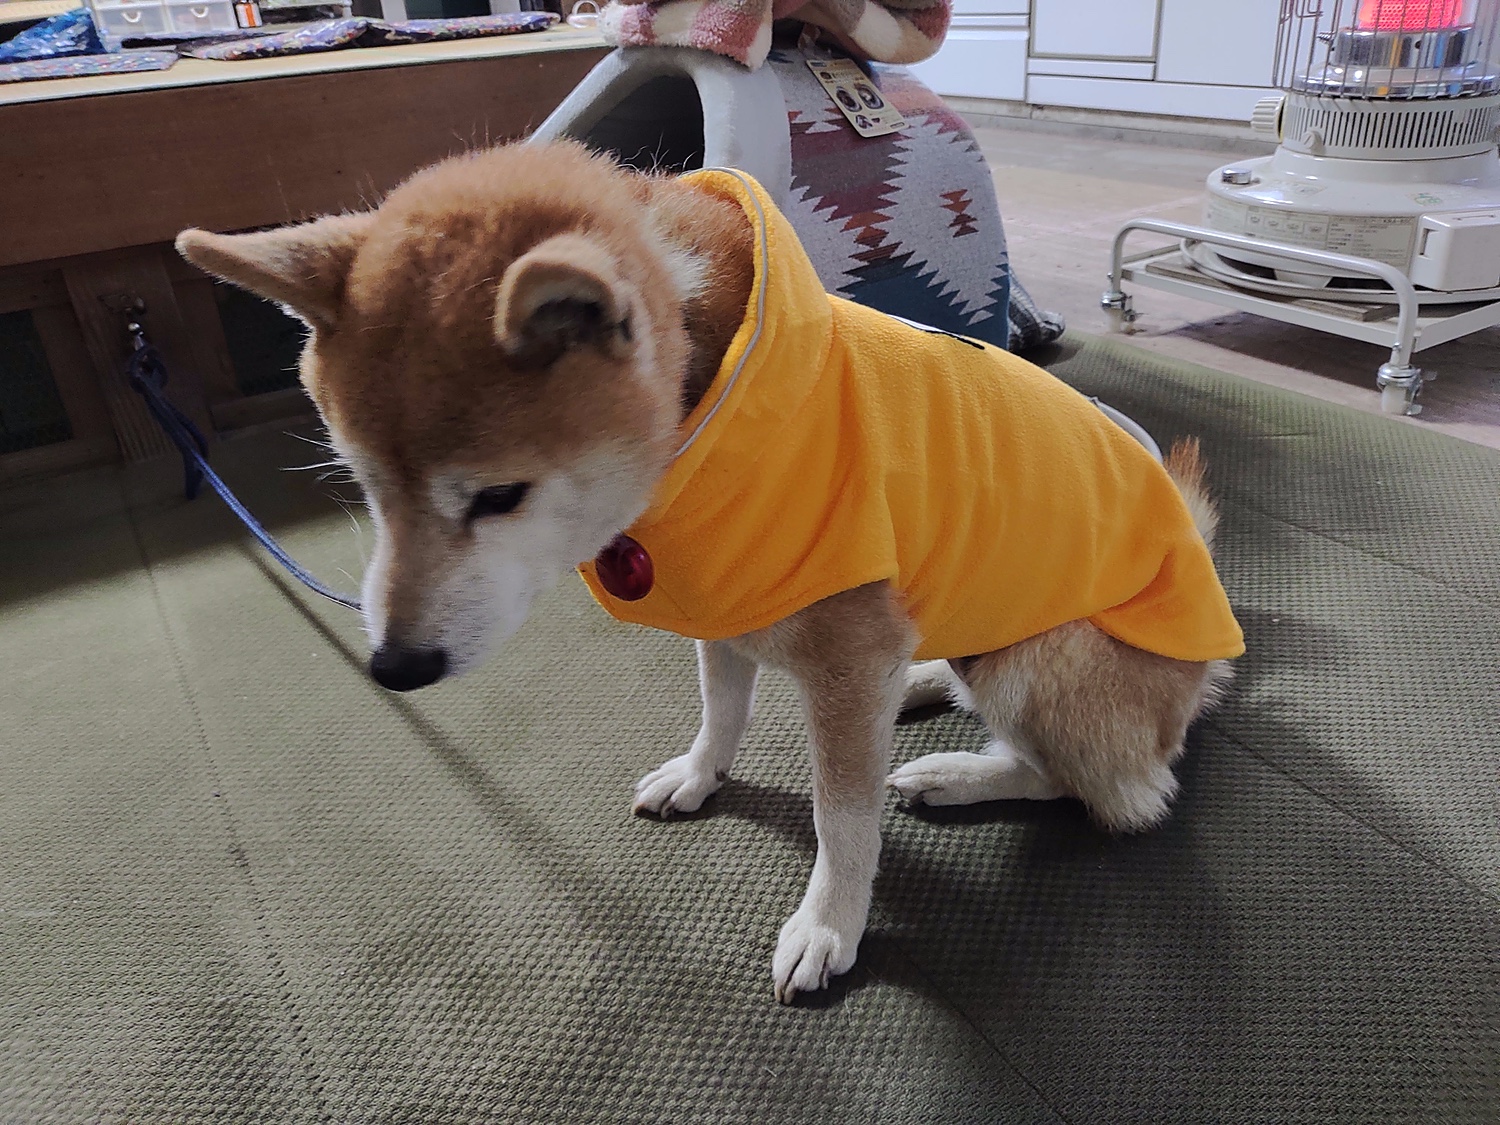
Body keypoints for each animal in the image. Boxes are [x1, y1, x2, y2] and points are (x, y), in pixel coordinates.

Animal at [175, 138, 1236, 1002]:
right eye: (359, 481)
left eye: (499, 496)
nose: (393, 667)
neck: (708, 413)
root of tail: (1212, 643)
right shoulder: (725, 600)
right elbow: (720, 709)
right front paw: (699, 775)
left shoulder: (844, 660)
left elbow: (842, 816)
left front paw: (829, 924)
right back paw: (928, 682)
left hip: (1038, 664)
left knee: (1117, 788)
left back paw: (960, 772)